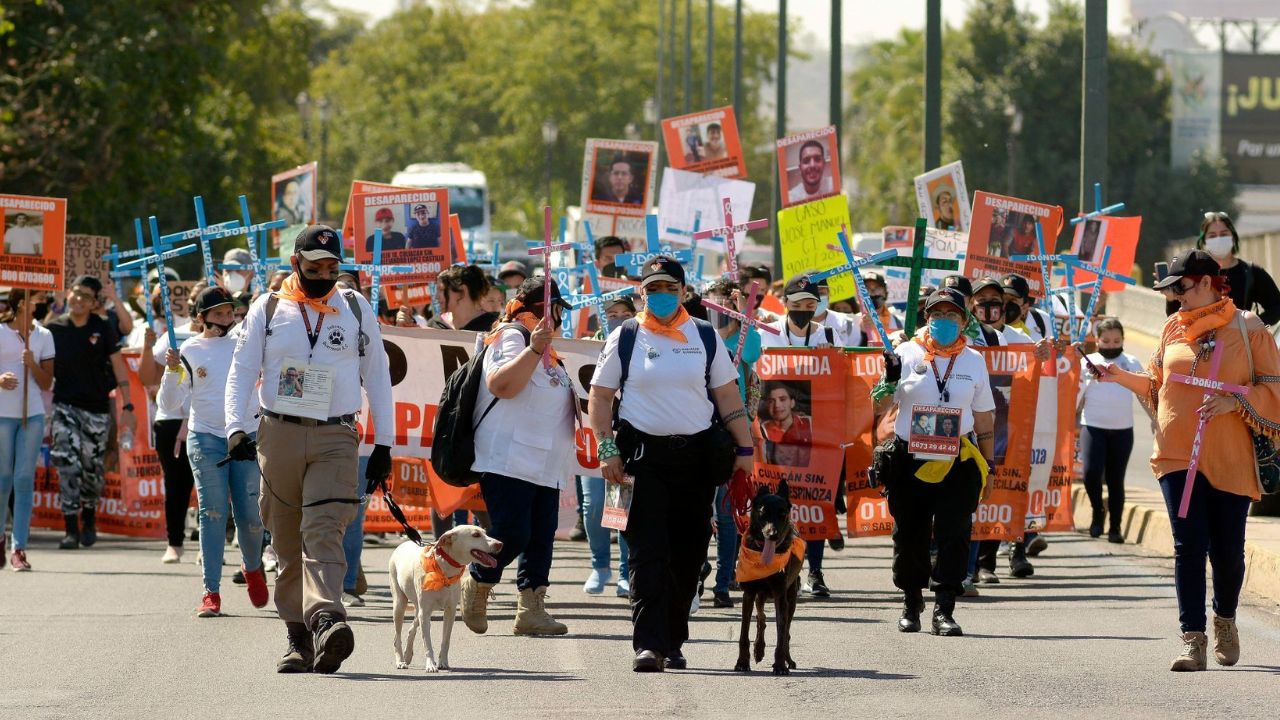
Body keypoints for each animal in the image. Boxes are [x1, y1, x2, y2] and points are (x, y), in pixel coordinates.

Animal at [391, 520, 501, 666]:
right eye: (475, 535)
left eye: (485, 532)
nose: (500, 544)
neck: (444, 571)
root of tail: (403, 544)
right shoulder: (425, 613)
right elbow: (427, 643)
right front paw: (430, 665)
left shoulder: (450, 611)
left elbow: (446, 640)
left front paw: (443, 662)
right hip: (400, 605)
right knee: (397, 637)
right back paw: (400, 660)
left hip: (418, 609)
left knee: (411, 629)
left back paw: (408, 655)